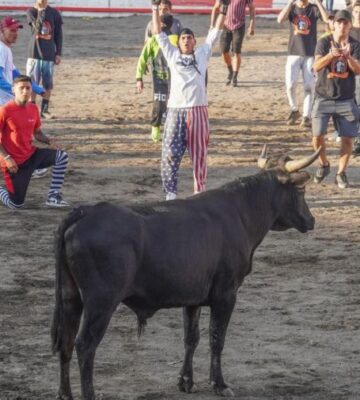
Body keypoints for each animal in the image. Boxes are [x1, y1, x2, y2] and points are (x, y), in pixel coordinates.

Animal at [51, 148, 320, 398]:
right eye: (301, 190)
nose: (312, 220)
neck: (240, 213)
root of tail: (86, 212)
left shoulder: (192, 297)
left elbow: (191, 337)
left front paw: (186, 381)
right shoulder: (226, 294)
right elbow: (216, 338)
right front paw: (219, 384)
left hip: (70, 296)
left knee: (66, 341)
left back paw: (64, 393)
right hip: (101, 302)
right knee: (85, 345)